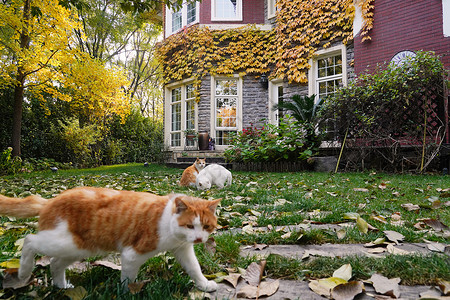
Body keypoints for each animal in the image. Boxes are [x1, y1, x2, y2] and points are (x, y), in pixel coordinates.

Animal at [0, 186, 220, 292]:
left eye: (206, 226)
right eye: (190, 226)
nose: (199, 239)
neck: (167, 219)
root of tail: (50, 201)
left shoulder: (182, 248)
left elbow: (194, 268)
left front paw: (204, 285)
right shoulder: (132, 254)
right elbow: (127, 280)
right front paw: (127, 293)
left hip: (78, 248)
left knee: (55, 263)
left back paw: (61, 287)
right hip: (64, 243)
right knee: (29, 240)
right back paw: (24, 271)